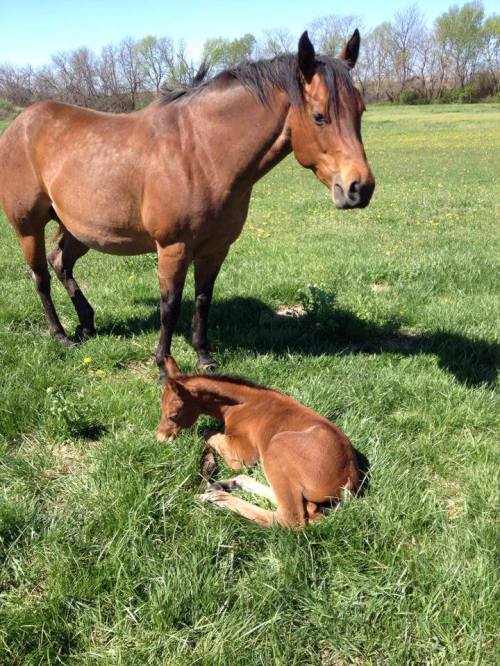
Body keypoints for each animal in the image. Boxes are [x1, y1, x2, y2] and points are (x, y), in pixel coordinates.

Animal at [0, 30, 374, 381]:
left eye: (361, 111)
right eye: (319, 116)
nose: (360, 188)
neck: (200, 153)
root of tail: (19, 124)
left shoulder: (216, 247)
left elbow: (202, 299)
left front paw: (204, 356)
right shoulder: (173, 247)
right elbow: (170, 305)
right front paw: (164, 366)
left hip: (80, 229)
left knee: (61, 262)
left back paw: (87, 324)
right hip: (28, 227)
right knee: (40, 277)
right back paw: (60, 335)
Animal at [157, 356, 360, 527]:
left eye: (173, 415)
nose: (160, 438)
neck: (242, 404)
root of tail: (350, 473)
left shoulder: (243, 454)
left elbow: (207, 433)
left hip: (276, 447)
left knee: (290, 518)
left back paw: (216, 497)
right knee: (308, 507)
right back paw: (225, 485)